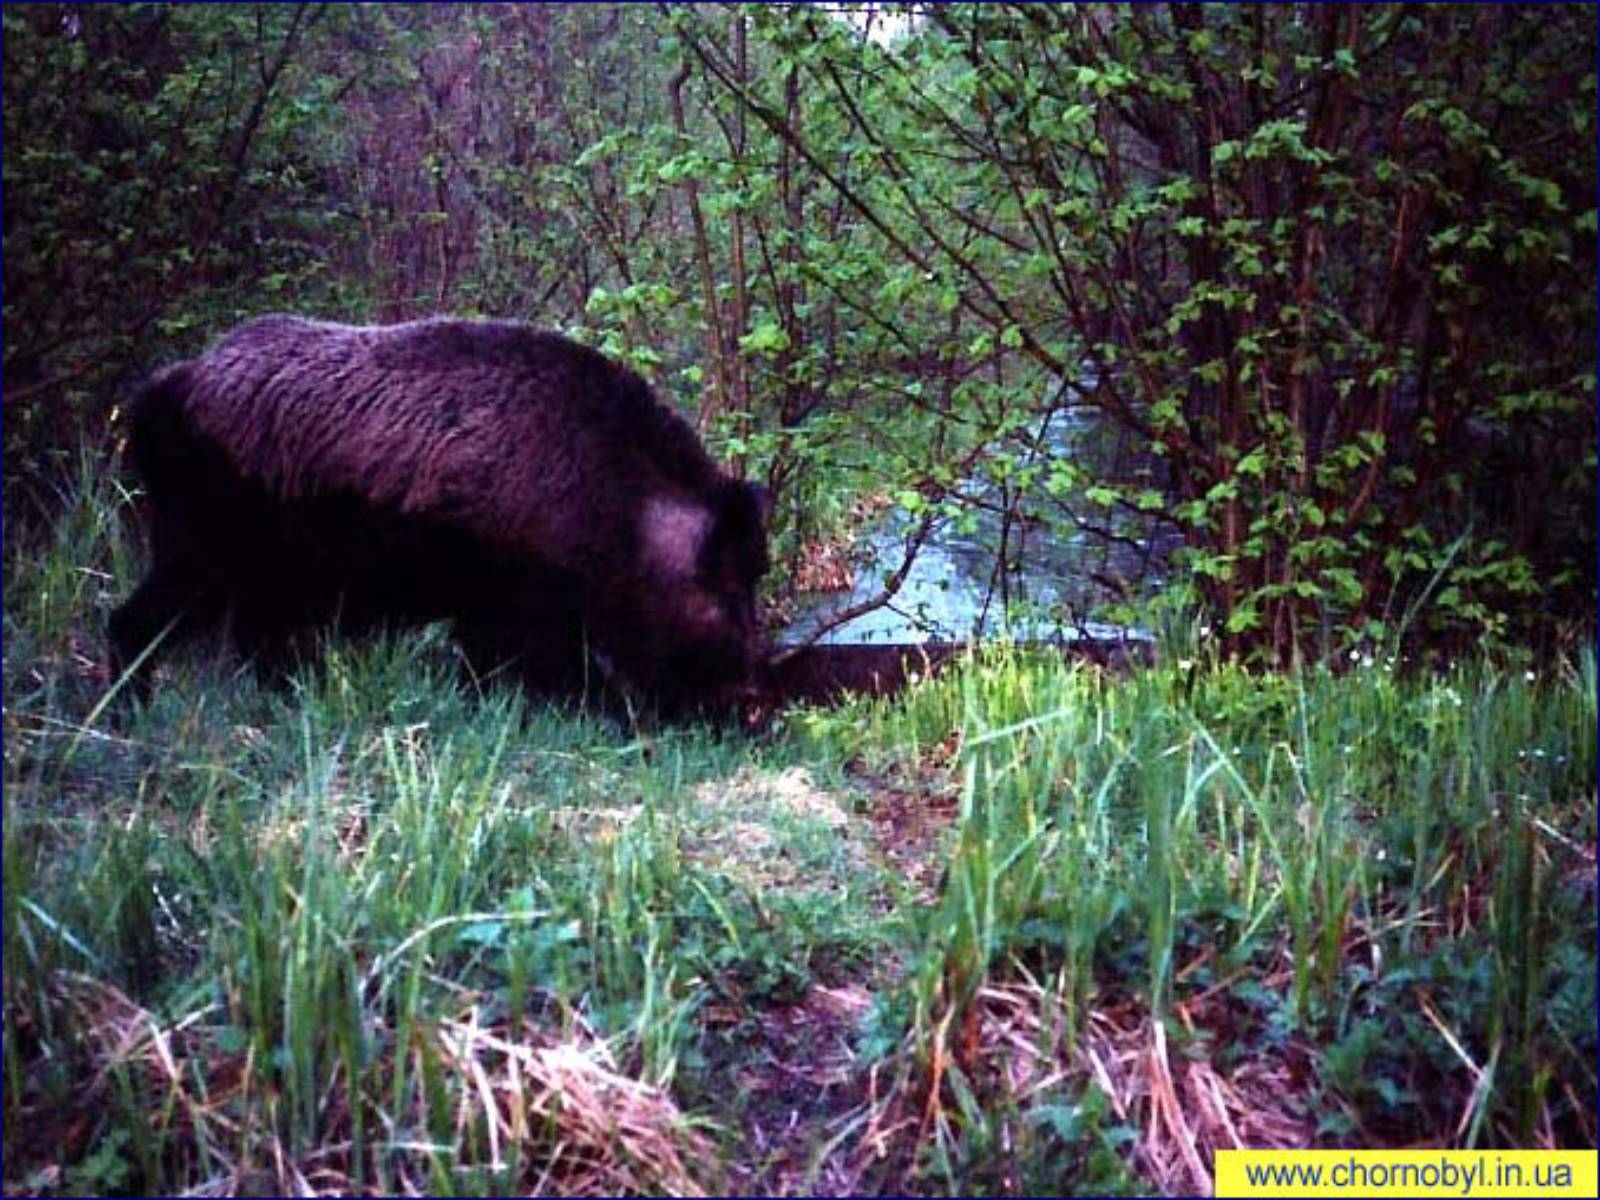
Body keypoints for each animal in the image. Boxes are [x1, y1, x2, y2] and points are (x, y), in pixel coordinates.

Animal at [109, 315, 771, 720]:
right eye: (728, 586)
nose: (753, 704)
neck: (625, 512)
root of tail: (163, 391)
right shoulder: (516, 608)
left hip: (259, 579)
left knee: (256, 648)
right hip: (198, 553)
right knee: (131, 622)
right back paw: (128, 713)